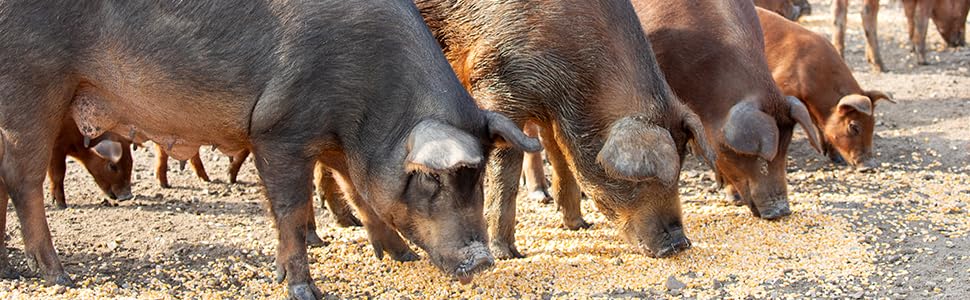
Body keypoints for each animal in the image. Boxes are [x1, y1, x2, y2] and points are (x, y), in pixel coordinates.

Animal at [0, 0, 536, 296]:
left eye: (477, 176)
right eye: (432, 178)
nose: (481, 260)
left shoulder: (339, 143)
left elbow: (362, 196)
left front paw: (399, 258)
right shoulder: (279, 130)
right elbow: (291, 208)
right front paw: (303, 289)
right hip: (32, 83)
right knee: (22, 179)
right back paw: (60, 277)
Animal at [414, 0, 712, 258]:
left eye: (679, 168)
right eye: (640, 177)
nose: (680, 243)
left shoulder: (557, 113)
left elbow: (562, 157)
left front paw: (579, 225)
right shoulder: (497, 87)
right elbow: (506, 176)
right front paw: (509, 255)